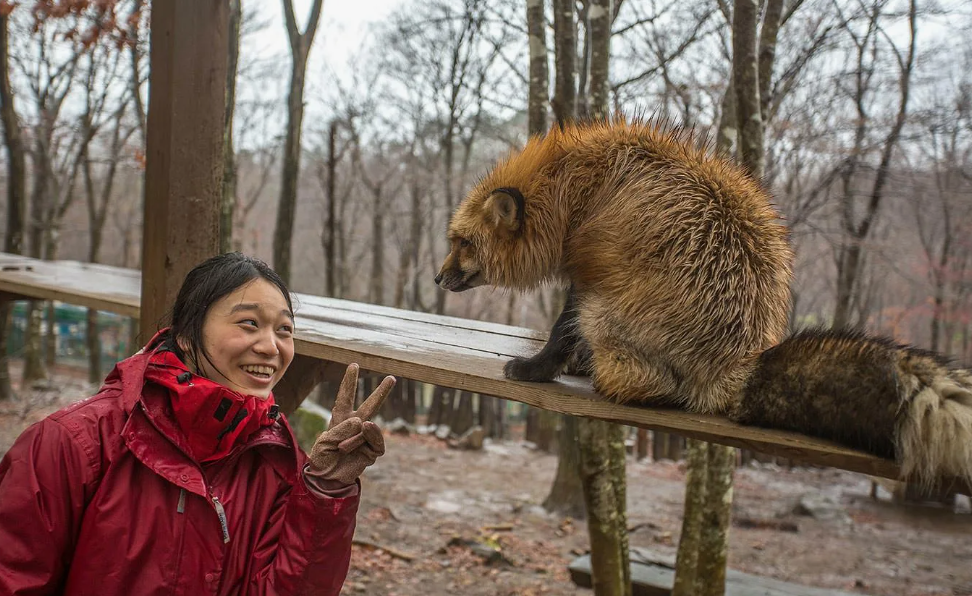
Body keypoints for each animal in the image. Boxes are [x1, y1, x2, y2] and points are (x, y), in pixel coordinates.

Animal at [434, 118, 972, 492]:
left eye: (462, 244)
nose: (438, 278)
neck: (576, 191)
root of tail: (742, 361)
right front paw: (566, 364)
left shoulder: (588, 274)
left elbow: (559, 334)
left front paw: (535, 370)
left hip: (605, 312)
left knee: (655, 386)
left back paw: (612, 382)